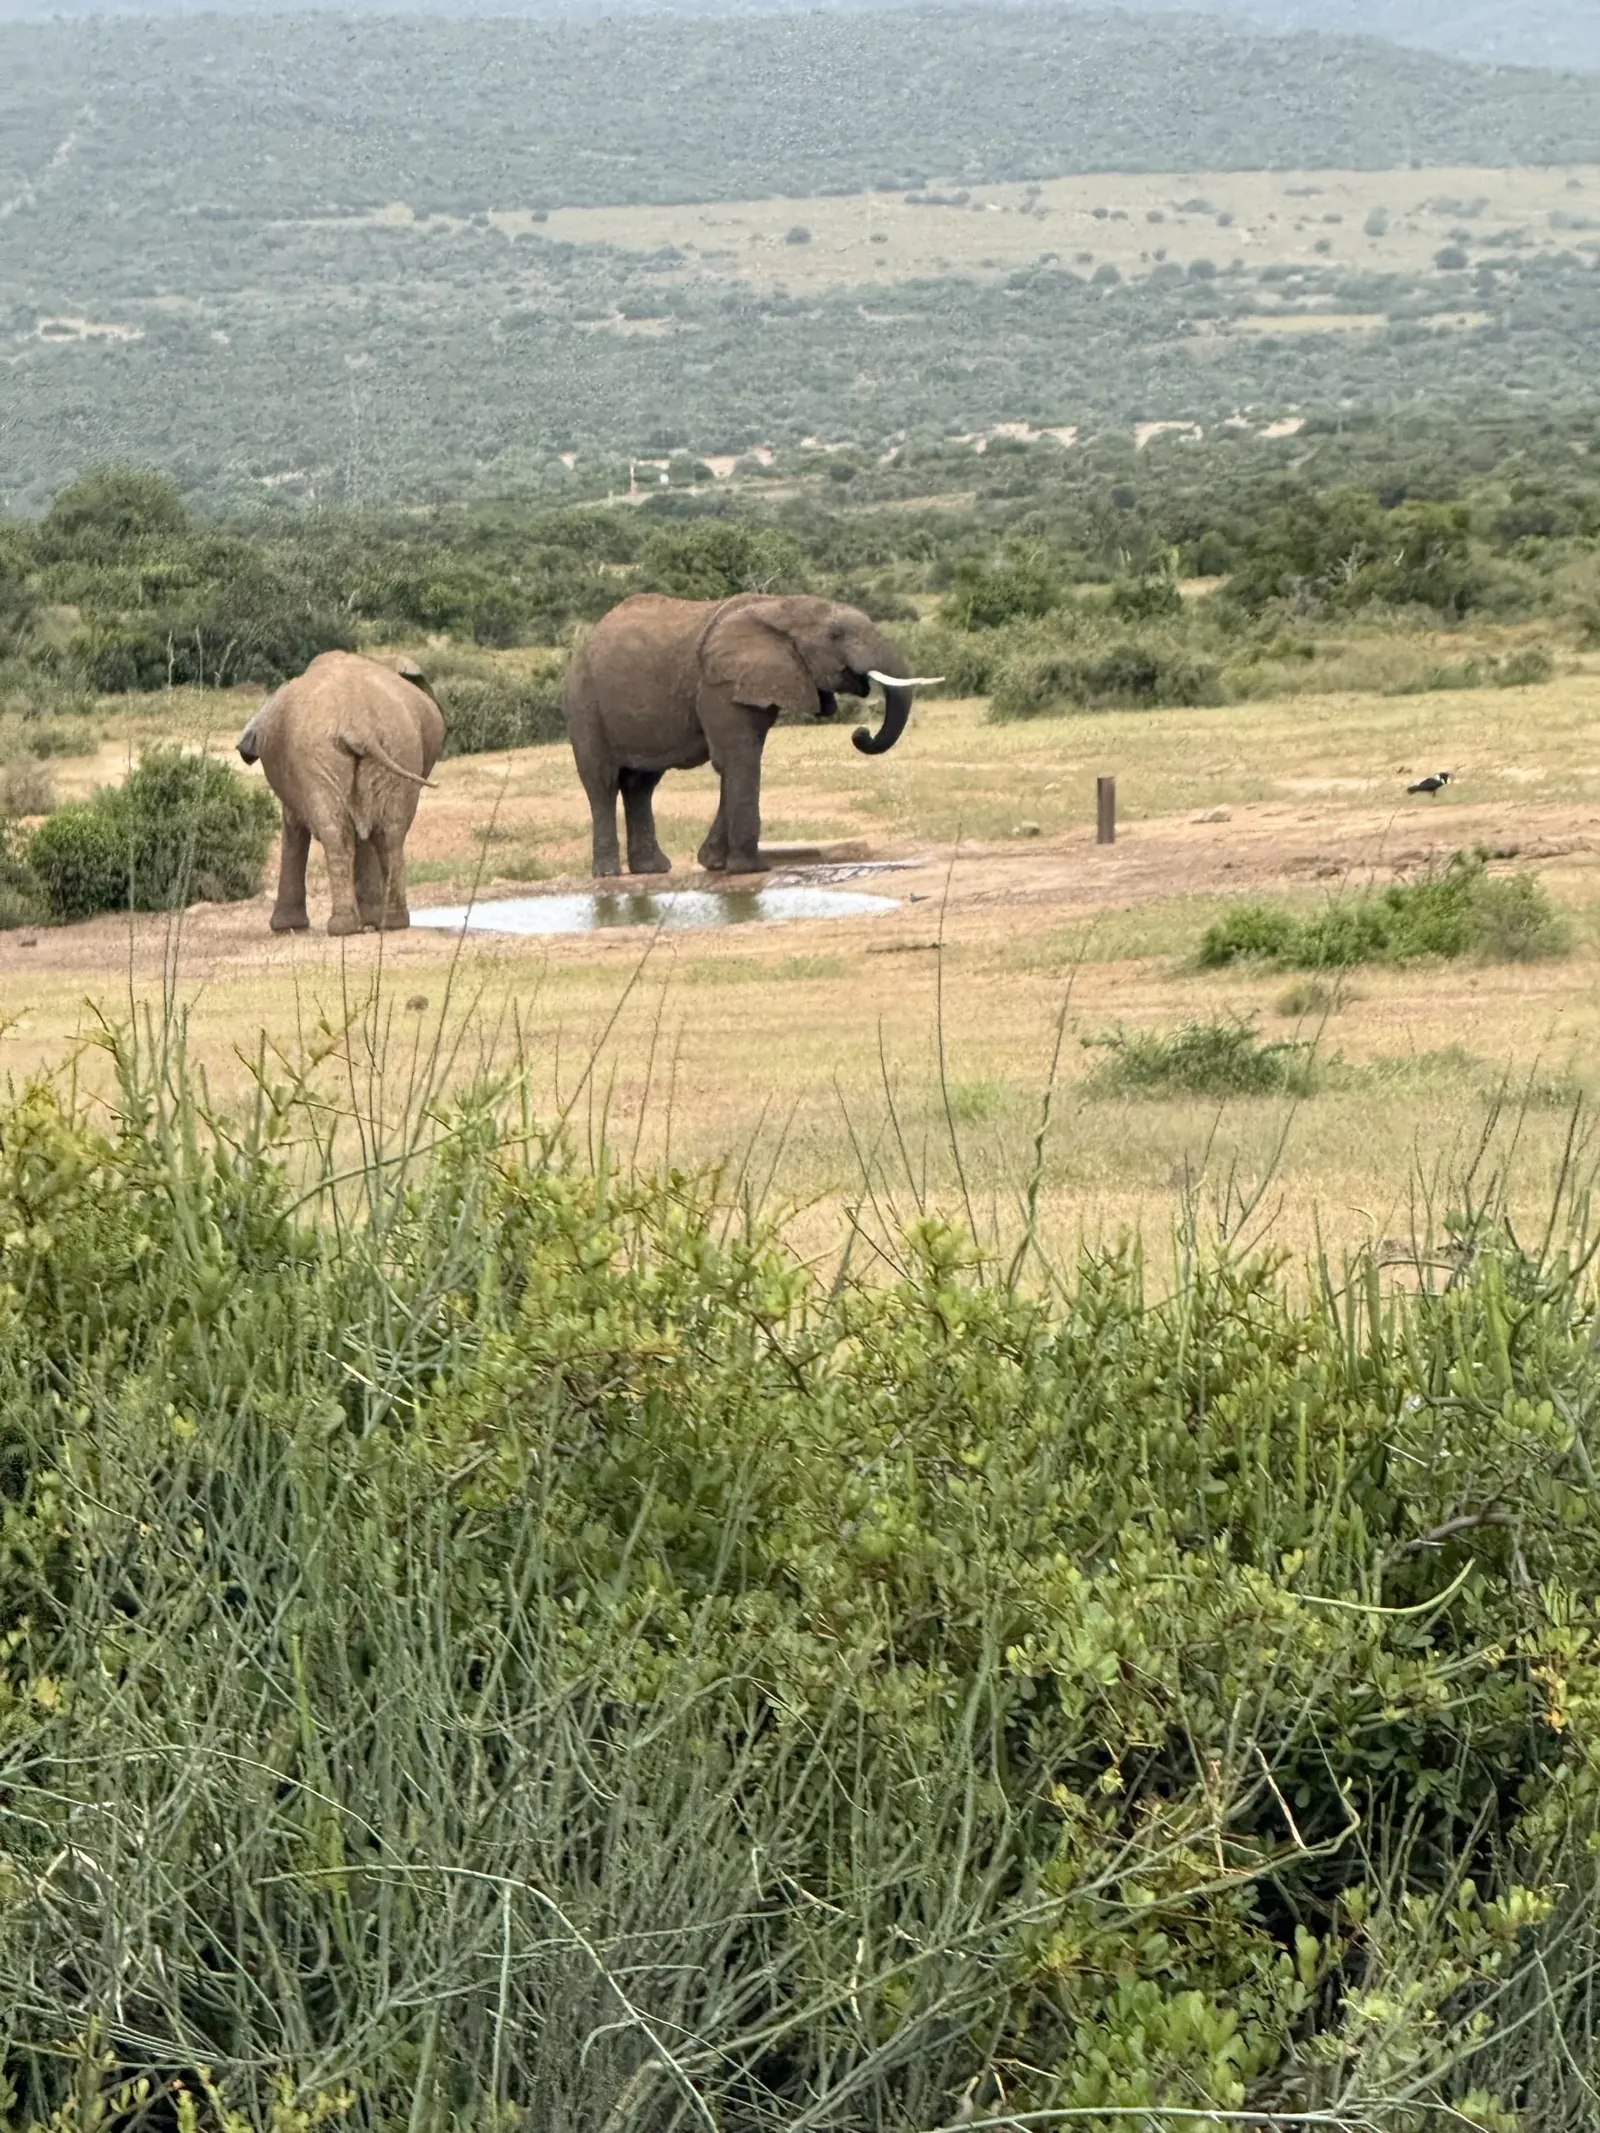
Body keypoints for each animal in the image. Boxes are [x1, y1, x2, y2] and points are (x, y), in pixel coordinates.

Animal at [237, 650, 445, 935]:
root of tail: (360, 727)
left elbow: (295, 825)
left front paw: (286, 926)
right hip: (393, 746)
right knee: (388, 832)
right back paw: (389, 923)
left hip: (325, 754)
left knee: (338, 832)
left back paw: (344, 926)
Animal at [563, 592, 940, 878]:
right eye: (835, 635)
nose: (860, 733)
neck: (781, 604)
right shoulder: (720, 685)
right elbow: (738, 760)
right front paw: (751, 868)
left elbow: (739, 761)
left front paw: (714, 863)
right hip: (584, 701)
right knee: (603, 782)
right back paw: (609, 874)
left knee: (641, 784)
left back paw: (653, 869)